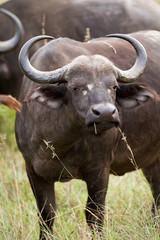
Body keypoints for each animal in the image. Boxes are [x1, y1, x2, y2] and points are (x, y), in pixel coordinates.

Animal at [16, 31, 160, 239]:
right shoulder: (33, 171)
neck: (60, 144)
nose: (106, 113)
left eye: (114, 86)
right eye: (76, 87)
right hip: (151, 161)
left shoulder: (99, 169)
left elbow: (94, 214)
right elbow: (46, 214)